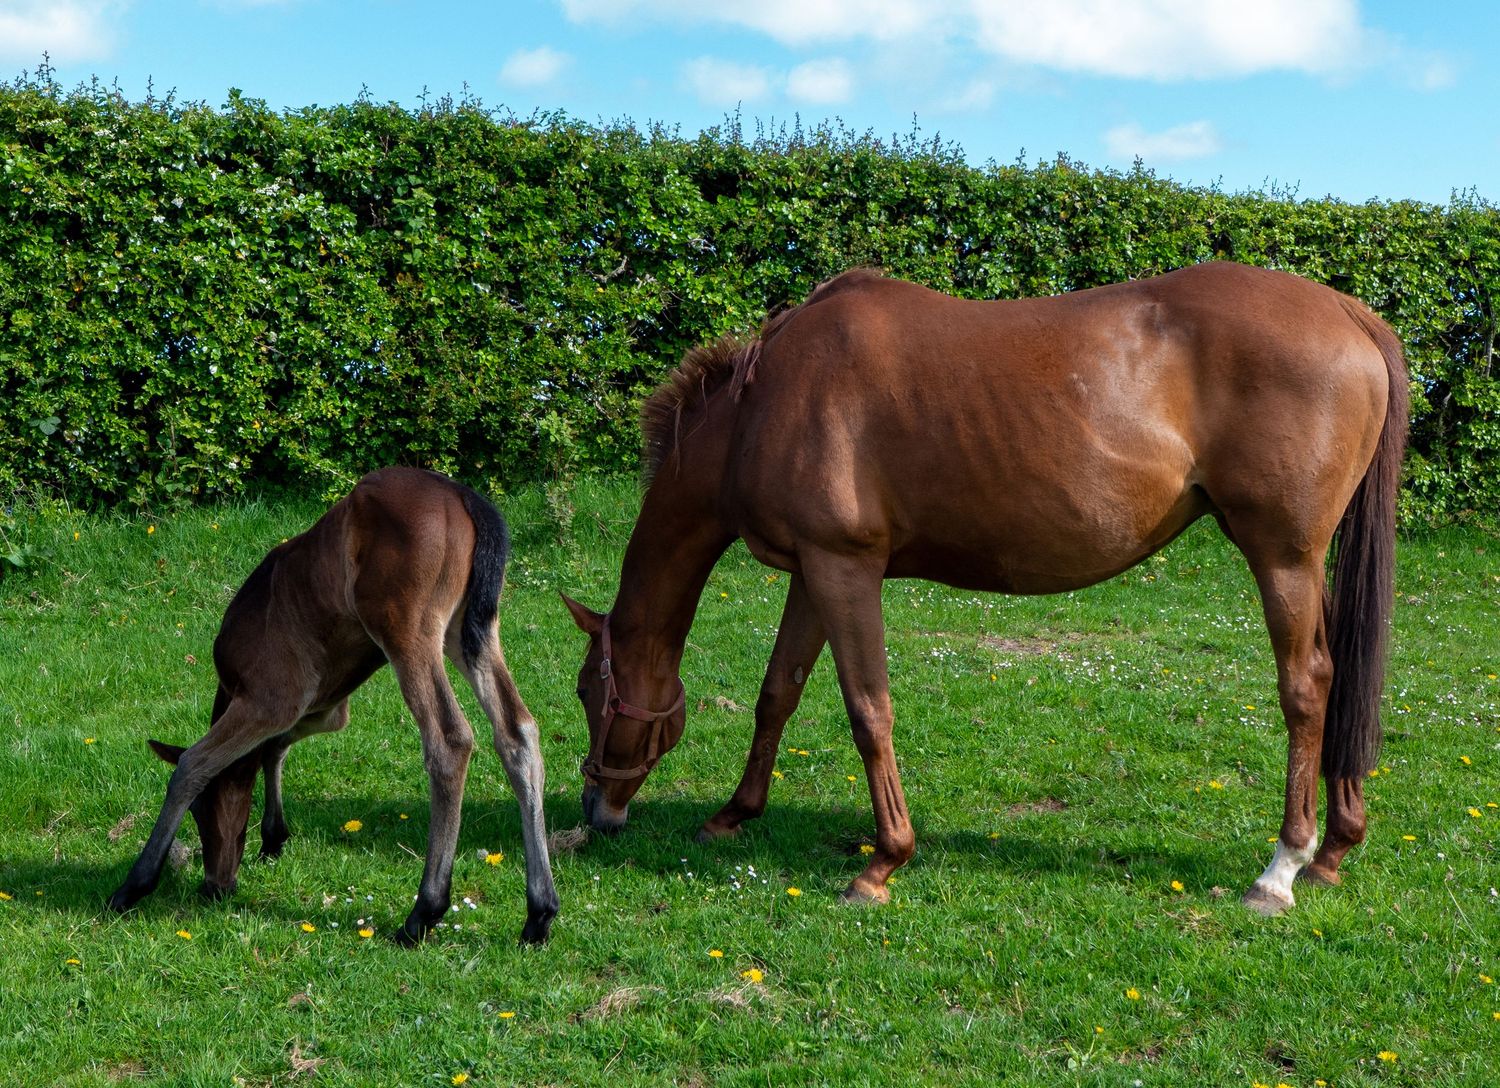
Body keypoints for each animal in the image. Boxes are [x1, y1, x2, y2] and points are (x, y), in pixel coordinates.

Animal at [109, 467, 559, 944]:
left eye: (200, 811)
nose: (216, 886)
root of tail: (460, 495)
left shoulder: (270, 699)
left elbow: (193, 764)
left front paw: (135, 884)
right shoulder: (323, 707)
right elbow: (275, 747)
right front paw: (273, 837)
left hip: (408, 631)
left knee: (449, 740)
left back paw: (423, 912)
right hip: (470, 632)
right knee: (517, 732)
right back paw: (539, 913)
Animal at [562, 262, 1407, 916]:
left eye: (588, 691)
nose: (598, 809)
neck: (760, 405)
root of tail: (1349, 313)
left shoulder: (844, 568)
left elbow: (868, 710)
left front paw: (883, 862)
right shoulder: (812, 572)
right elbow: (779, 693)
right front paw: (735, 813)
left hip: (1283, 559)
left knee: (1307, 687)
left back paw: (1282, 869)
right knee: (1338, 681)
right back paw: (1333, 849)